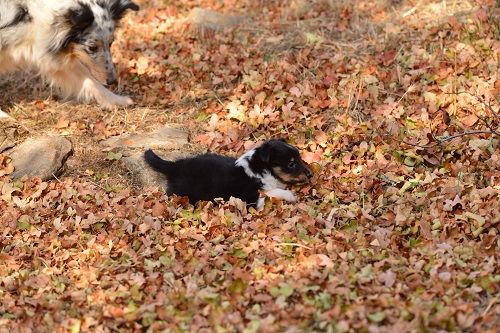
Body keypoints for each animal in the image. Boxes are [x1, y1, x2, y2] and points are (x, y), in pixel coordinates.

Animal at [143, 138, 312, 208]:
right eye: (291, 163)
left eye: (299, 157)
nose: (311, 175)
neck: (260, 169)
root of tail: (174, 166)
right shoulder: (248, 198)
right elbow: (270, 193)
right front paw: (290, 196)